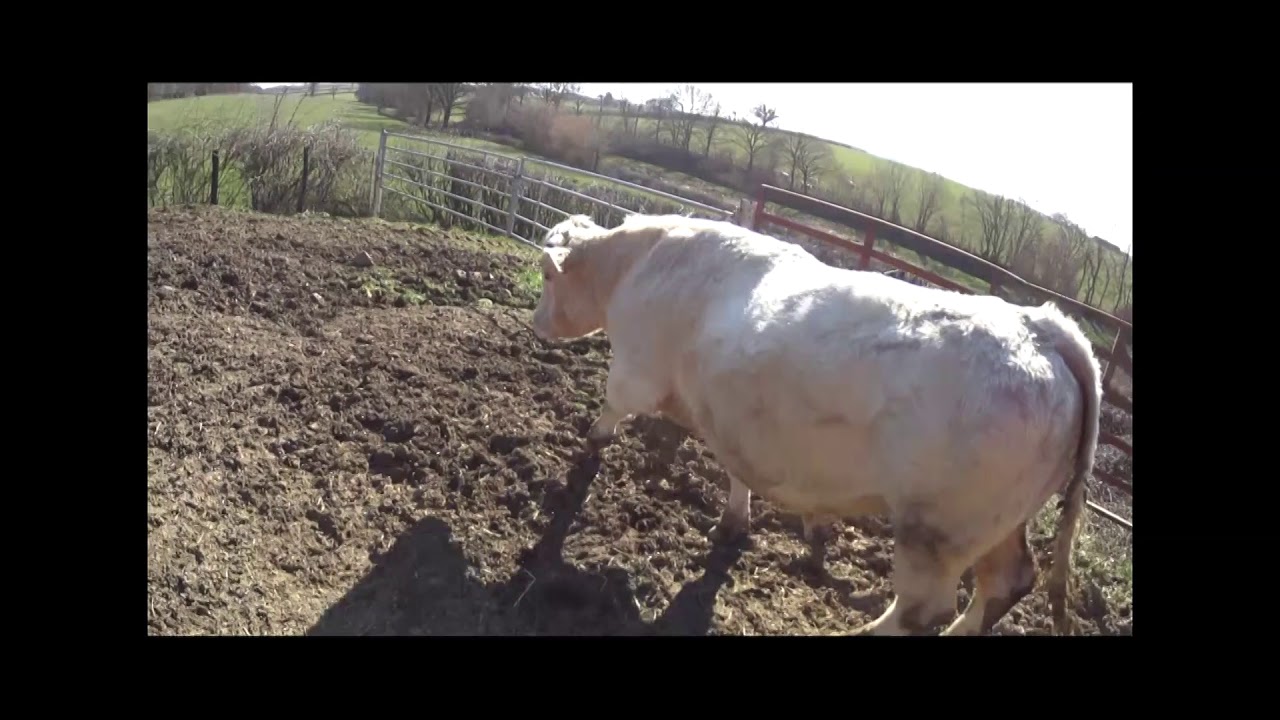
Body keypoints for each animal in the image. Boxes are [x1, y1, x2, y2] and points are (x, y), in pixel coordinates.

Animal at [529, 213, 1101, 636]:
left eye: (547, 276)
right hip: (997, 523)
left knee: (924, 610)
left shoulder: (635, 369)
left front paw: (586, 454)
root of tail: (1040, 326)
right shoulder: (735, 420)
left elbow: (608, 413)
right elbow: (737, 473)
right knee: (1005, 582)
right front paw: (732, 522)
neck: (636, 267)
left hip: (937, 530)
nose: (536, 323)